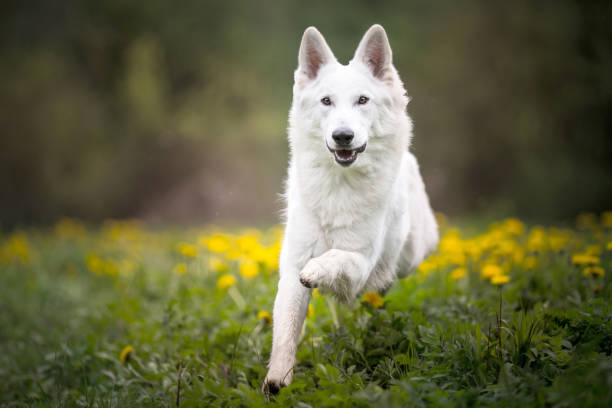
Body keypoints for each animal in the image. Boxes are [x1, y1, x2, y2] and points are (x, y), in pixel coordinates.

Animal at [262, 23, 440, 394]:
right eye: (326, 101)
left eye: (362, 100)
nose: (342, 136)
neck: (339, 186)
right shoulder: (291, 269)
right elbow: (285, 332)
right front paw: (277, 379)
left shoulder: (360, 261)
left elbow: (335, 257)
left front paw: (316, 270)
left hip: (409, 257)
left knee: (384, 282)